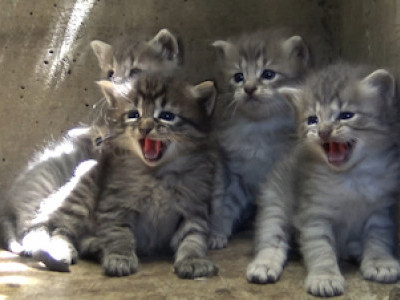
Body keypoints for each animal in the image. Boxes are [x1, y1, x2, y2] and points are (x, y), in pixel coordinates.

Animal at [31, 73, 219, 278]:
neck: (156, 174)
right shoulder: (116, 204)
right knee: (61, 229)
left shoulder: (194, 205)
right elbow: (119, 233)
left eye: (167, 116)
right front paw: (120, 257)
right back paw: (62, 250)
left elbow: (193, 236)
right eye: (134, 115)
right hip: (82, 195)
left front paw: (193, 259)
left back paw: (95, 244)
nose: (145, 127)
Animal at [208, 28, 310, 248]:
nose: (249, 88)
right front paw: (218, 232)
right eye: (238, 77)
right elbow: (225, 204)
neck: (258, 126)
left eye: (268, 74)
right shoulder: (234, 172)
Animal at [247, 62, 400, 296]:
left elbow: (378, 239)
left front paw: (380, 262)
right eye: (313, 120)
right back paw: (264, 264)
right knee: (272, 234)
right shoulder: (314, 214)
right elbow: (321, 248)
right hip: (275, 201)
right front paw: (325, 277)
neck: (350, 176)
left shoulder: (381, 210)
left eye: (346, 115)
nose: (323, 131)